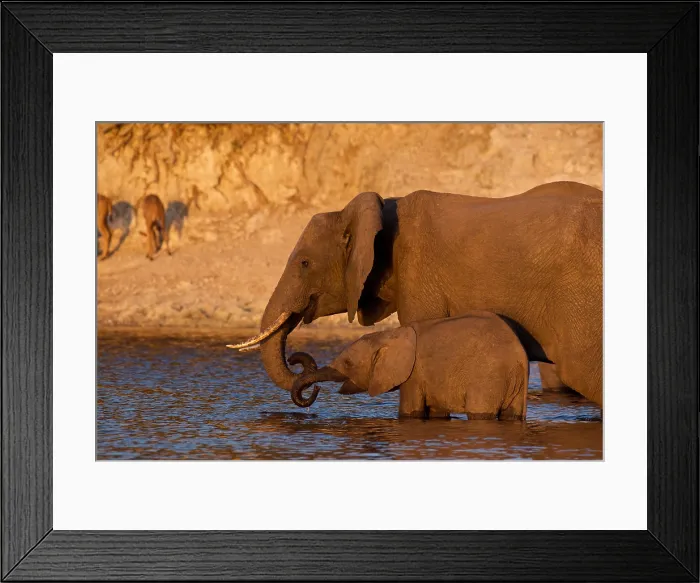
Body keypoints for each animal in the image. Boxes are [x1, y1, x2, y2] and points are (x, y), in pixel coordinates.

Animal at [291, 311, 529, 420]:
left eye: (348, 363)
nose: (316, 388)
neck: (388, 335)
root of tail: (519, 357)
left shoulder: (414, 375)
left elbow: (409, 412)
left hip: (487, 378)